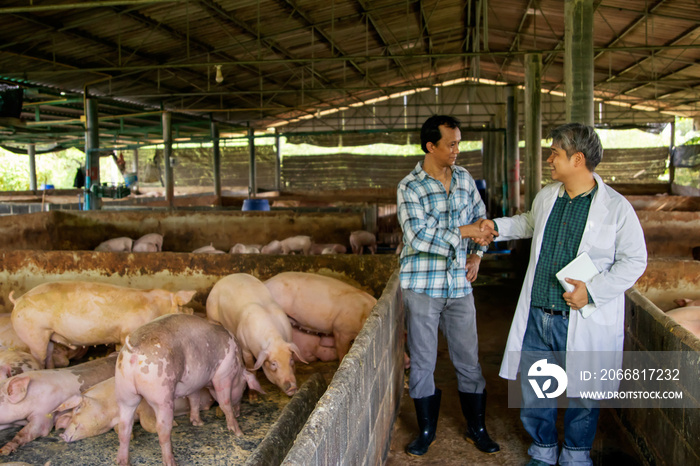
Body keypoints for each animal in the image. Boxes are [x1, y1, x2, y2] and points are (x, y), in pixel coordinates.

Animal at [56, 376, 215, 442]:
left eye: (77, 408)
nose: (61, 435)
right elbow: (119, 428)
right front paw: (130, 436)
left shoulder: (146, 406)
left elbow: (146, 422)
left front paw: (174, 424)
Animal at [115, 314, 262, 466]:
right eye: (244, 387)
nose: (238, 412)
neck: (238, 365)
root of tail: (134, 350)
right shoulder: (224, 373)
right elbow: (224, 402)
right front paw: (239, 432)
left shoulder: (194, 383)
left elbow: (194, 400)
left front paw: (198, 423)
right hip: (161, 394)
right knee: (162, 428)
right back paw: (171, 461)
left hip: (124, 392)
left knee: (124, 426)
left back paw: (122, 462)